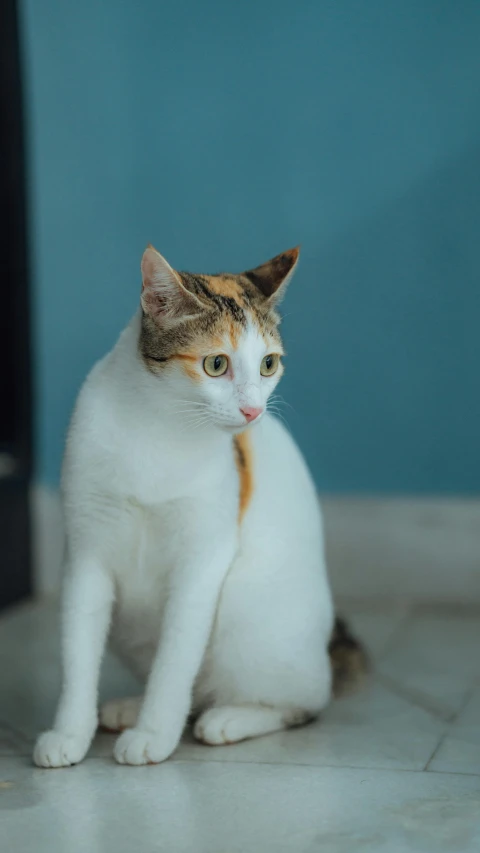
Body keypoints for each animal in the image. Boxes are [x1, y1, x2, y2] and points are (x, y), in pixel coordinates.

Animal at [33, 245, 366, 764]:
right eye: (215, 365)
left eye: (268, 364)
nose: (252, 411)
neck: (160, 423)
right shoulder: (85, 553)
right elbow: (77, 653)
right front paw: (69, 734)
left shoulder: (202, 559)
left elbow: (176, 659)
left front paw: (154, 733)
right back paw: (130, 706)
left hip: (250, 621)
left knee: (303, 702)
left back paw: (230, 717)